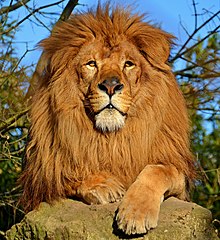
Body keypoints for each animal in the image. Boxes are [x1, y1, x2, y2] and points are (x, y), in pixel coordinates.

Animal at [18, 3, 194, 235]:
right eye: (91, 64)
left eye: (128, 64)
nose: (111, 86)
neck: (112, 138)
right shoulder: (44, 177)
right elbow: (68, 173)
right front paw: (103, 185)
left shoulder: (177, 174)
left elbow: (157, 170)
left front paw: (135, 213)